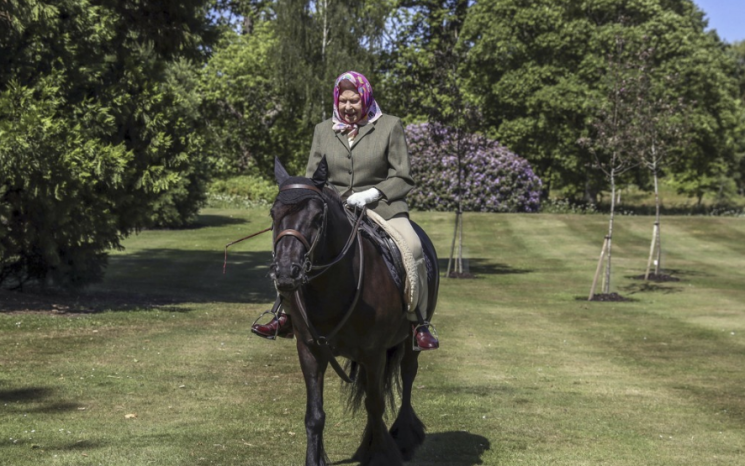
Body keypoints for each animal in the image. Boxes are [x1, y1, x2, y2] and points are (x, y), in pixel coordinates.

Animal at [270, 158, 438, 466]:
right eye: (273, 214)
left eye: (318, 217)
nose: (287, 272)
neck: (330, 286)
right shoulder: (310, 350)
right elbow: (315, 415)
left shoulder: (374, 353)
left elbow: (375, 404)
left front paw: (382, 454)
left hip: (410, 340)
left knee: (408, 376)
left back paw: (404, 437)